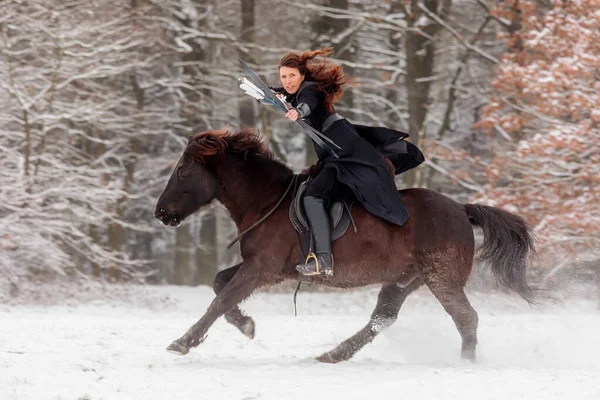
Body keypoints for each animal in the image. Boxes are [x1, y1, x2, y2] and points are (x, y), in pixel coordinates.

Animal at [155, 128, 536, 362]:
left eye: (183, 172)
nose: (161, 213)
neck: (267, 202)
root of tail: (460, 209)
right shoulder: (267, 268)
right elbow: (220, 283)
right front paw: (246, 325)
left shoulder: (261, 268)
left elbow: (220, 300)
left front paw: (182, 342)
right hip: (405, 279)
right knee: (383, 318)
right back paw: (333, 354)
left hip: (442, 278)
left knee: (466, 318)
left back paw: (465, 363)